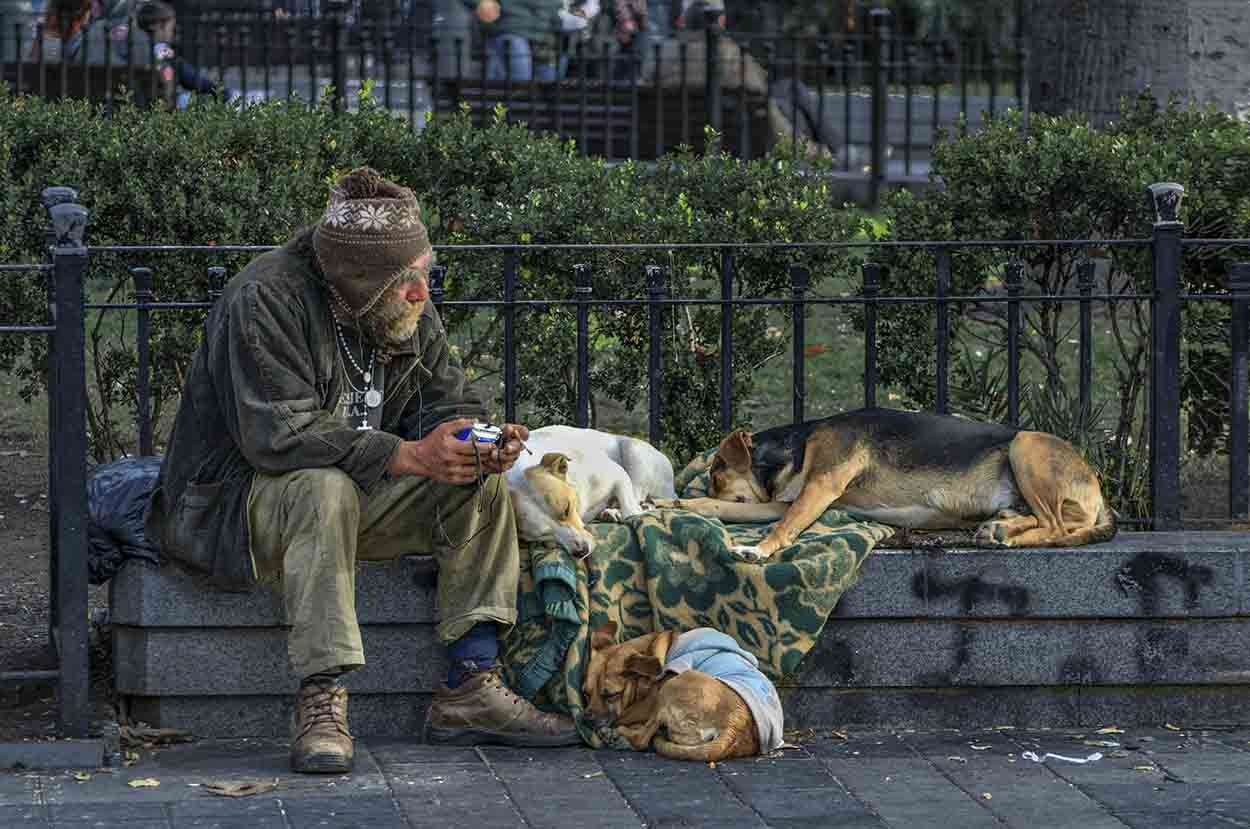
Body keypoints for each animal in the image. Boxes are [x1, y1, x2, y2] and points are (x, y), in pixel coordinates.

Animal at [500, 427, 675, 557]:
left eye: (566, 509)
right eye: (543, 533)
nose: (581, 552)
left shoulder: (618, 474)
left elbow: (630, 509)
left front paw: (625, 511)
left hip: (635, 451)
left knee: (638, 496)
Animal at [580, 622, 775, 765]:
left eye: (611, 695)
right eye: (586, 694)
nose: (586, 719)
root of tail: (734, 728)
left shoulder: (645, 704)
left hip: (671, 685)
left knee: (642, 739)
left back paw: (620, 735)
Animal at [650, 407, 1120, 565]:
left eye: (716, 472)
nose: (708, 482)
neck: (796, 446)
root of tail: (1098, 488)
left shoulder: (819, 487)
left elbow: (784, 527)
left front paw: (760, 549)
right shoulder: (782, 501)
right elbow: (716, 510)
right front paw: (666, 503)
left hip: (1025, 445)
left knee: (1058, 527)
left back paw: (1006, 534)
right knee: (1047, 522)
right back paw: (1000, 528)